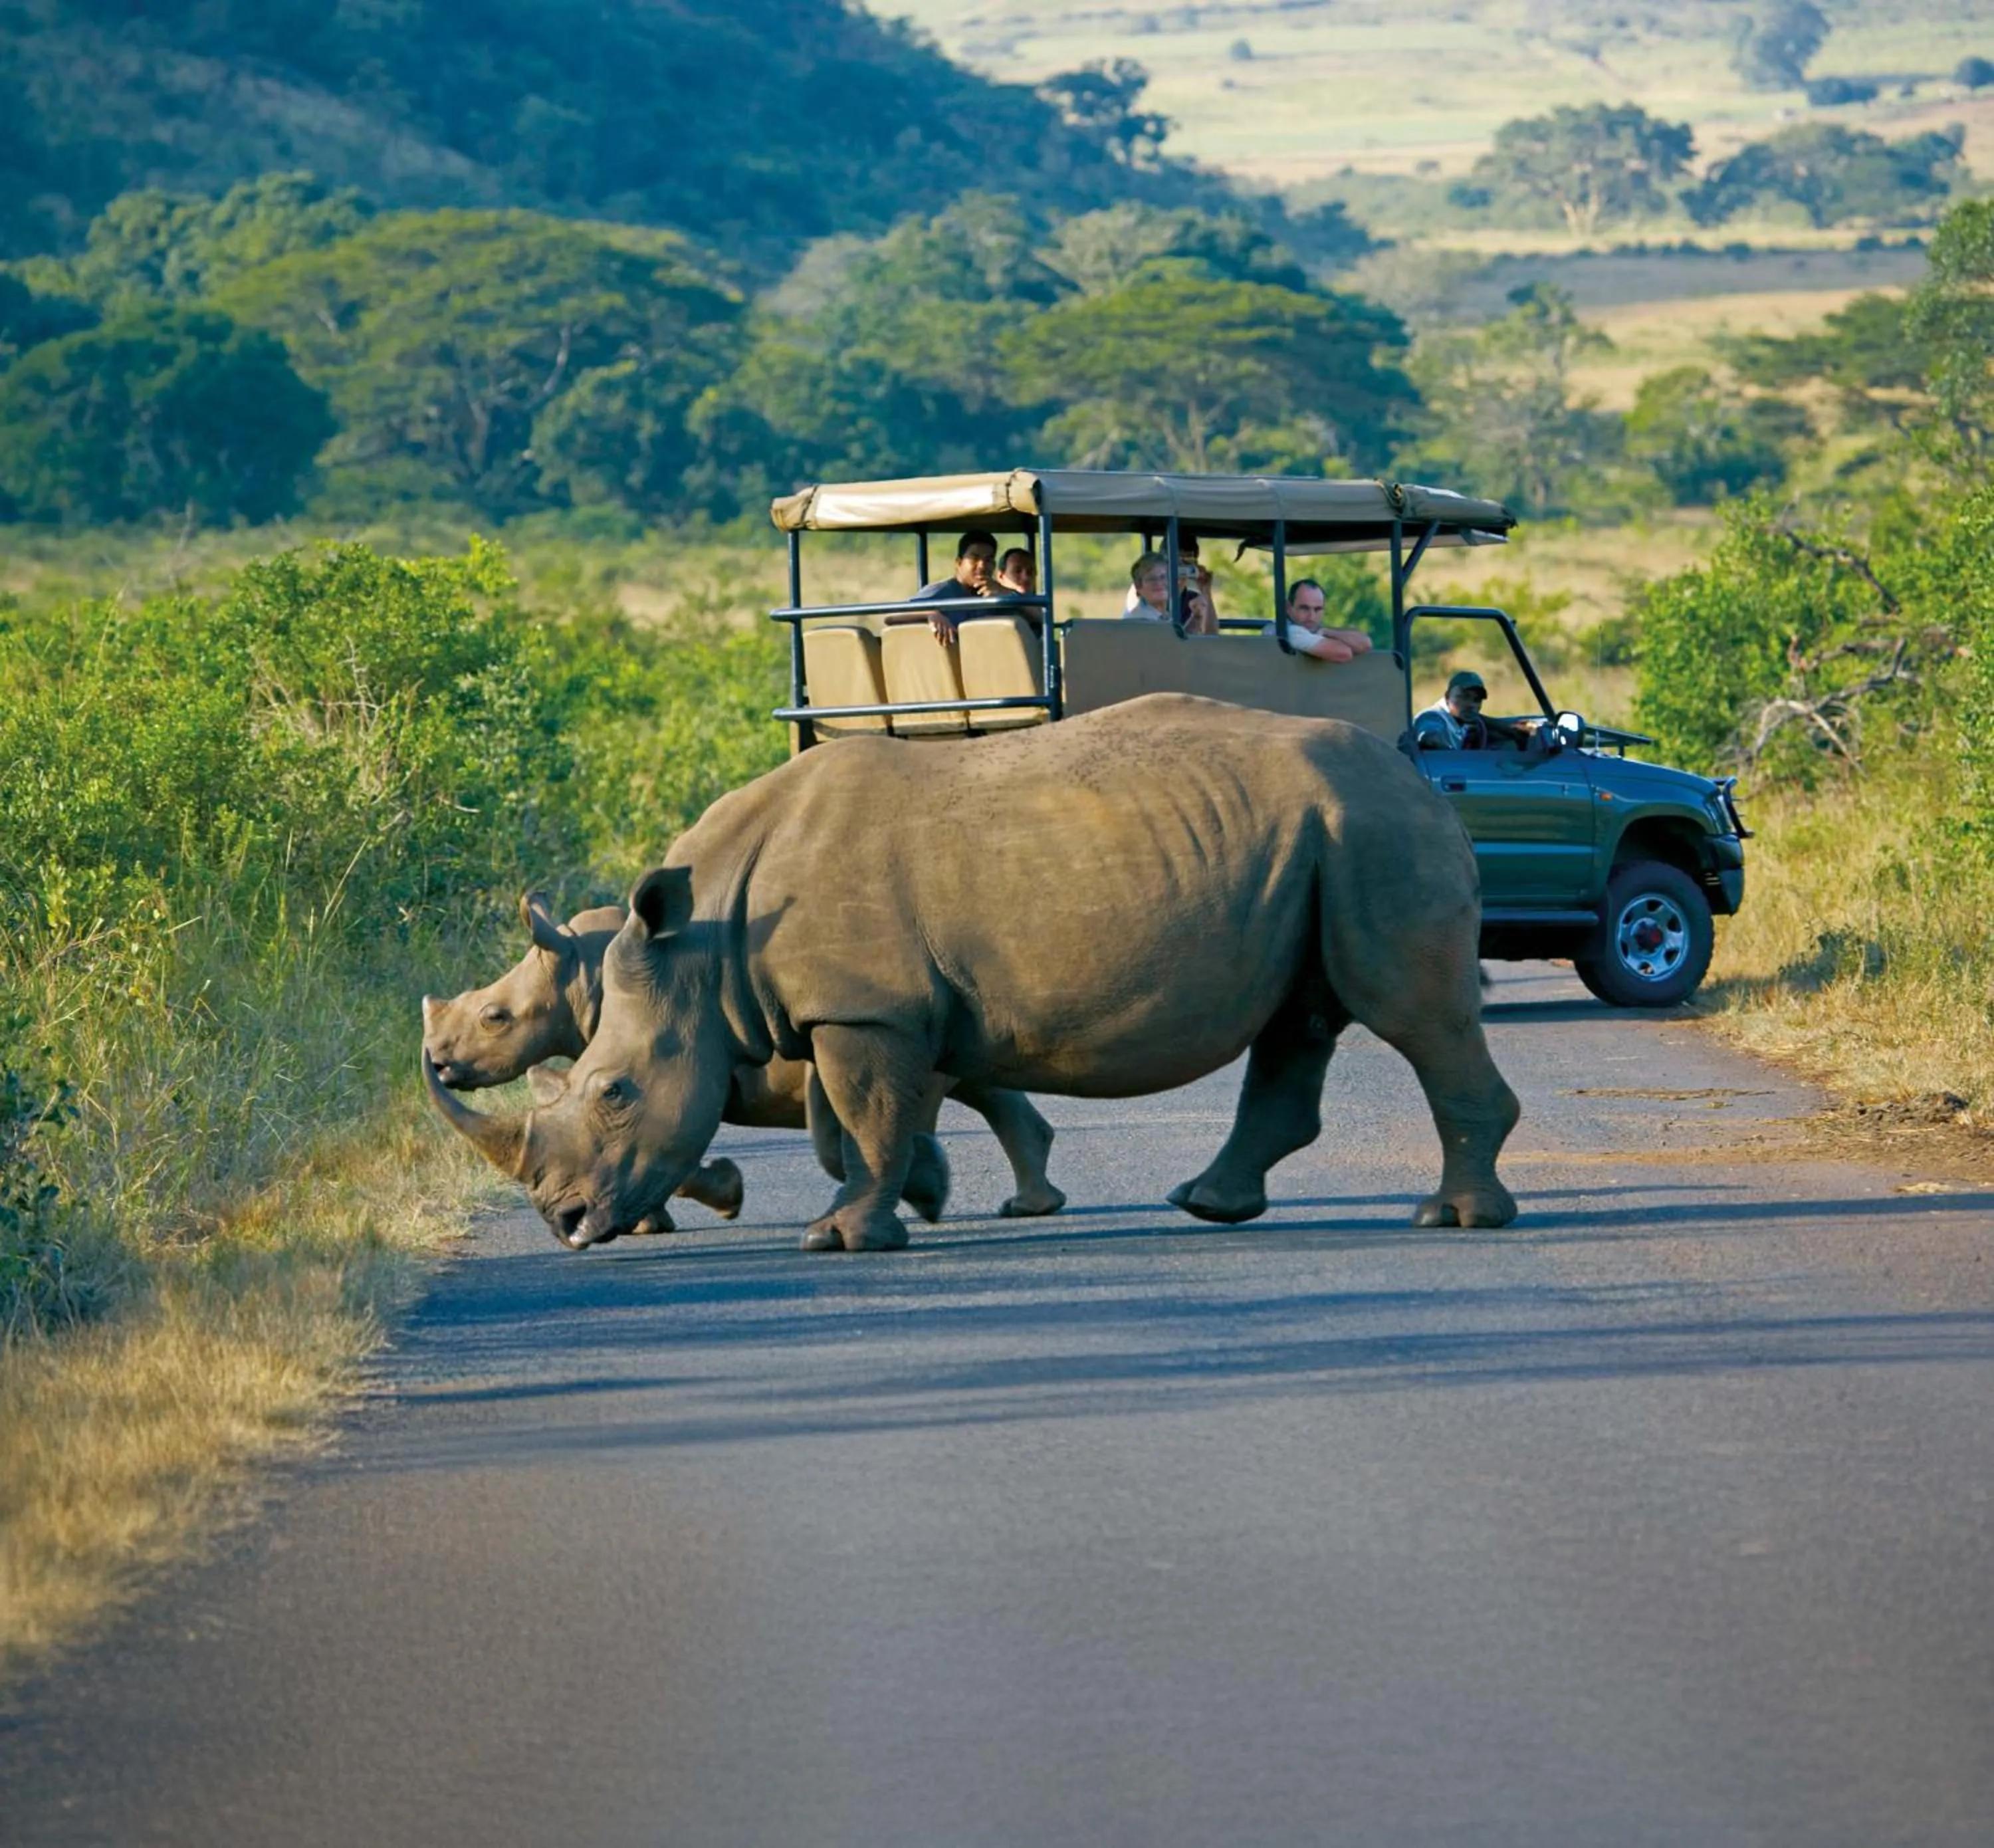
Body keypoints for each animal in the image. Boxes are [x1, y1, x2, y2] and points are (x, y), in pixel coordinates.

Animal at [422, 895, 1064, 1224]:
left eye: (496, 1018)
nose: (439, 1062)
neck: (580, 969)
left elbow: (669, 1150)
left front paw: (709, 1202)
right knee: (977, 1080)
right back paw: (1028, 1206)